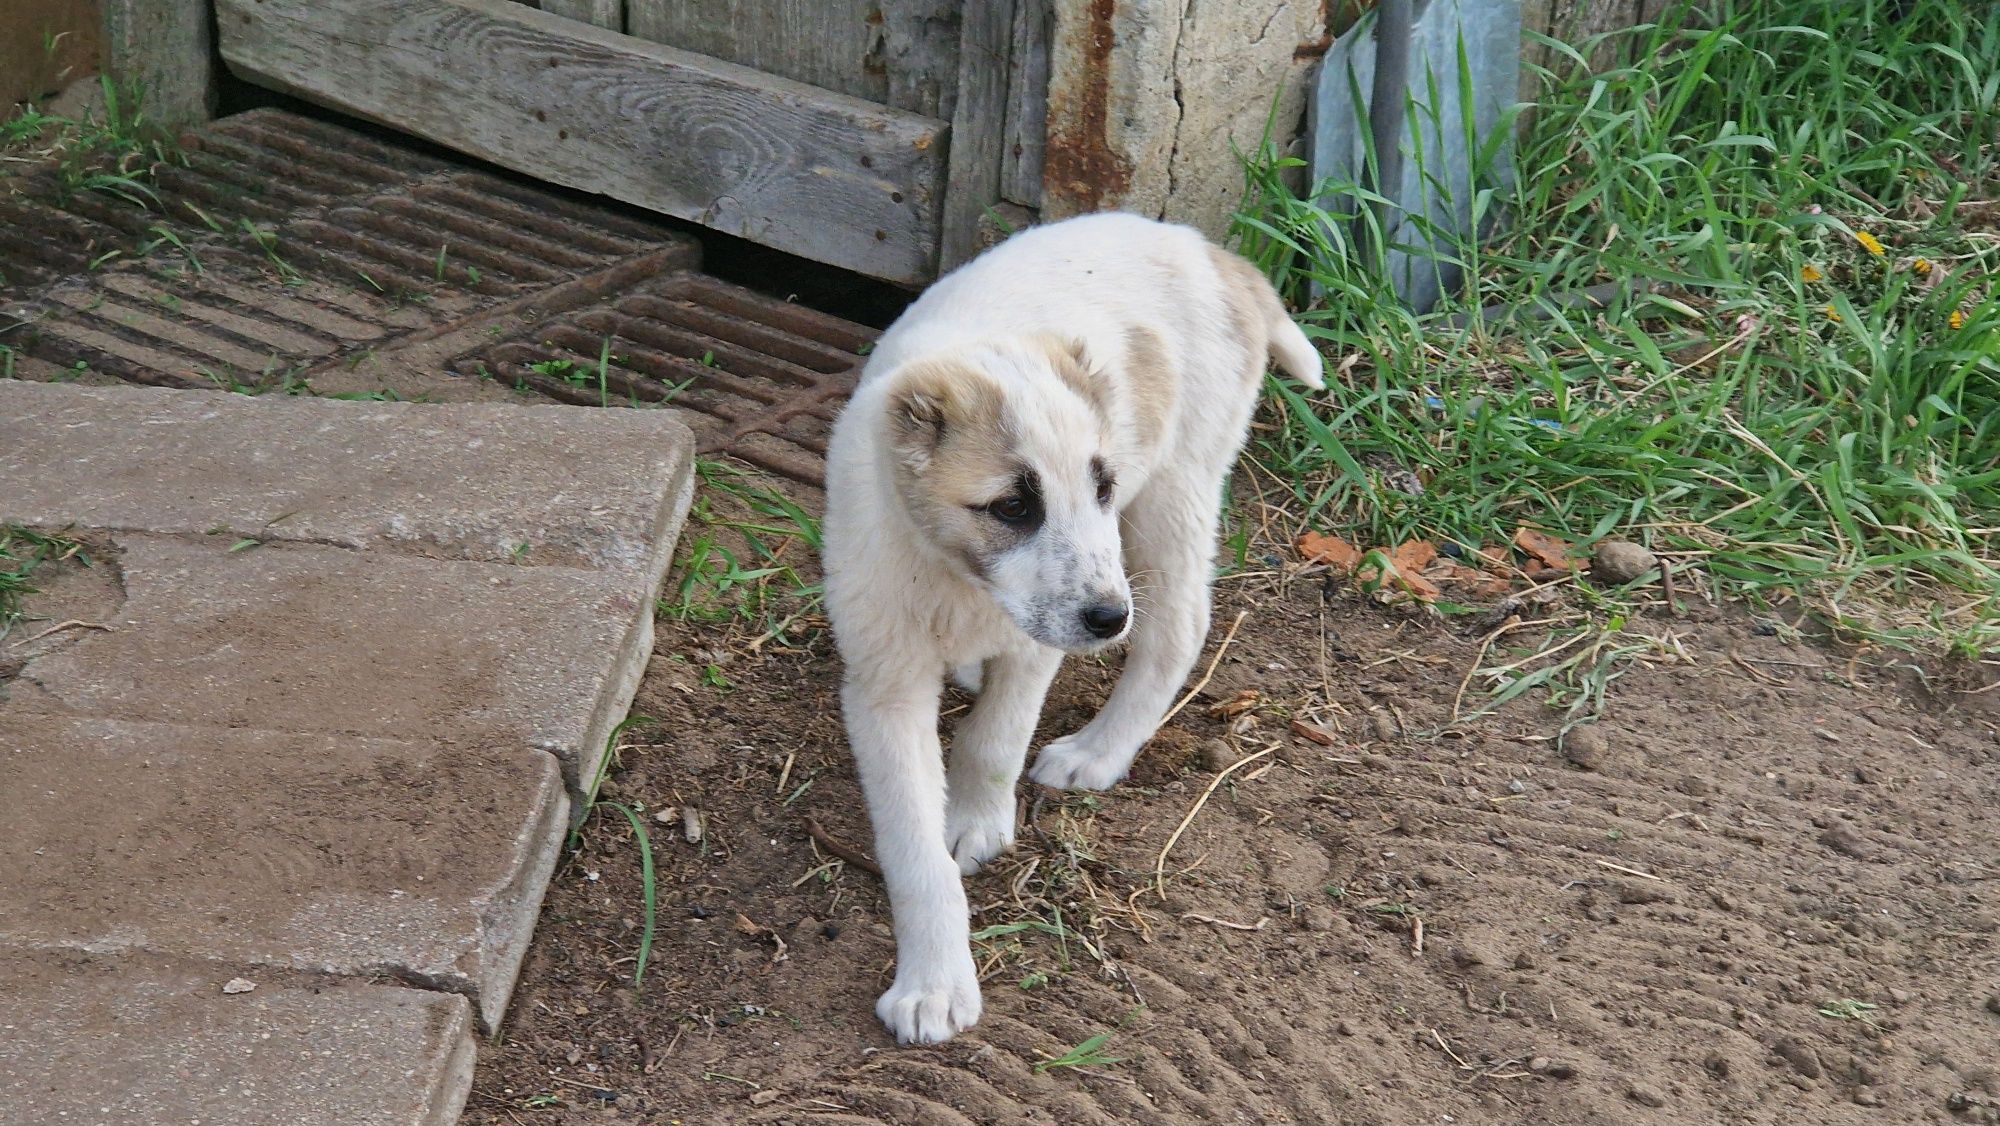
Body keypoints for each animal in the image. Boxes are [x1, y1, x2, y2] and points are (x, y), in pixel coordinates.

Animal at [820, 214, 1320, 1048]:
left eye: (1102, 486)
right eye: (1012, 507)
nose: (1108, 618)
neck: (957, 575)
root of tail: (1211, 252)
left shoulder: (1038, 639)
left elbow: (993, 743)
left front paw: (975, 821)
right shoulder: (884, 683)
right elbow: (914, 851)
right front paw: (934, 980)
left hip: (1174, 499)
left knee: (1177, 632)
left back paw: (1099, 751)